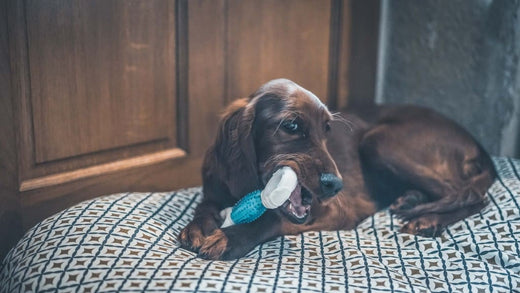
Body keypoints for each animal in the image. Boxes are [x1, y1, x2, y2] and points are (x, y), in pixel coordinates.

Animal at [179, 78, 496, 258]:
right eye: (291, 125)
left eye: (327, 129)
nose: (336, 185)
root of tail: (478, 144)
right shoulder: (213, 189)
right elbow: (204, 206)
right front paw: (197, 228)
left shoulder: (335, 211)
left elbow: (270, 220)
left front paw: (228, 238)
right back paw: (411, 200)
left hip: (378, 141)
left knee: (473, 195)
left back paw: (427, 219)